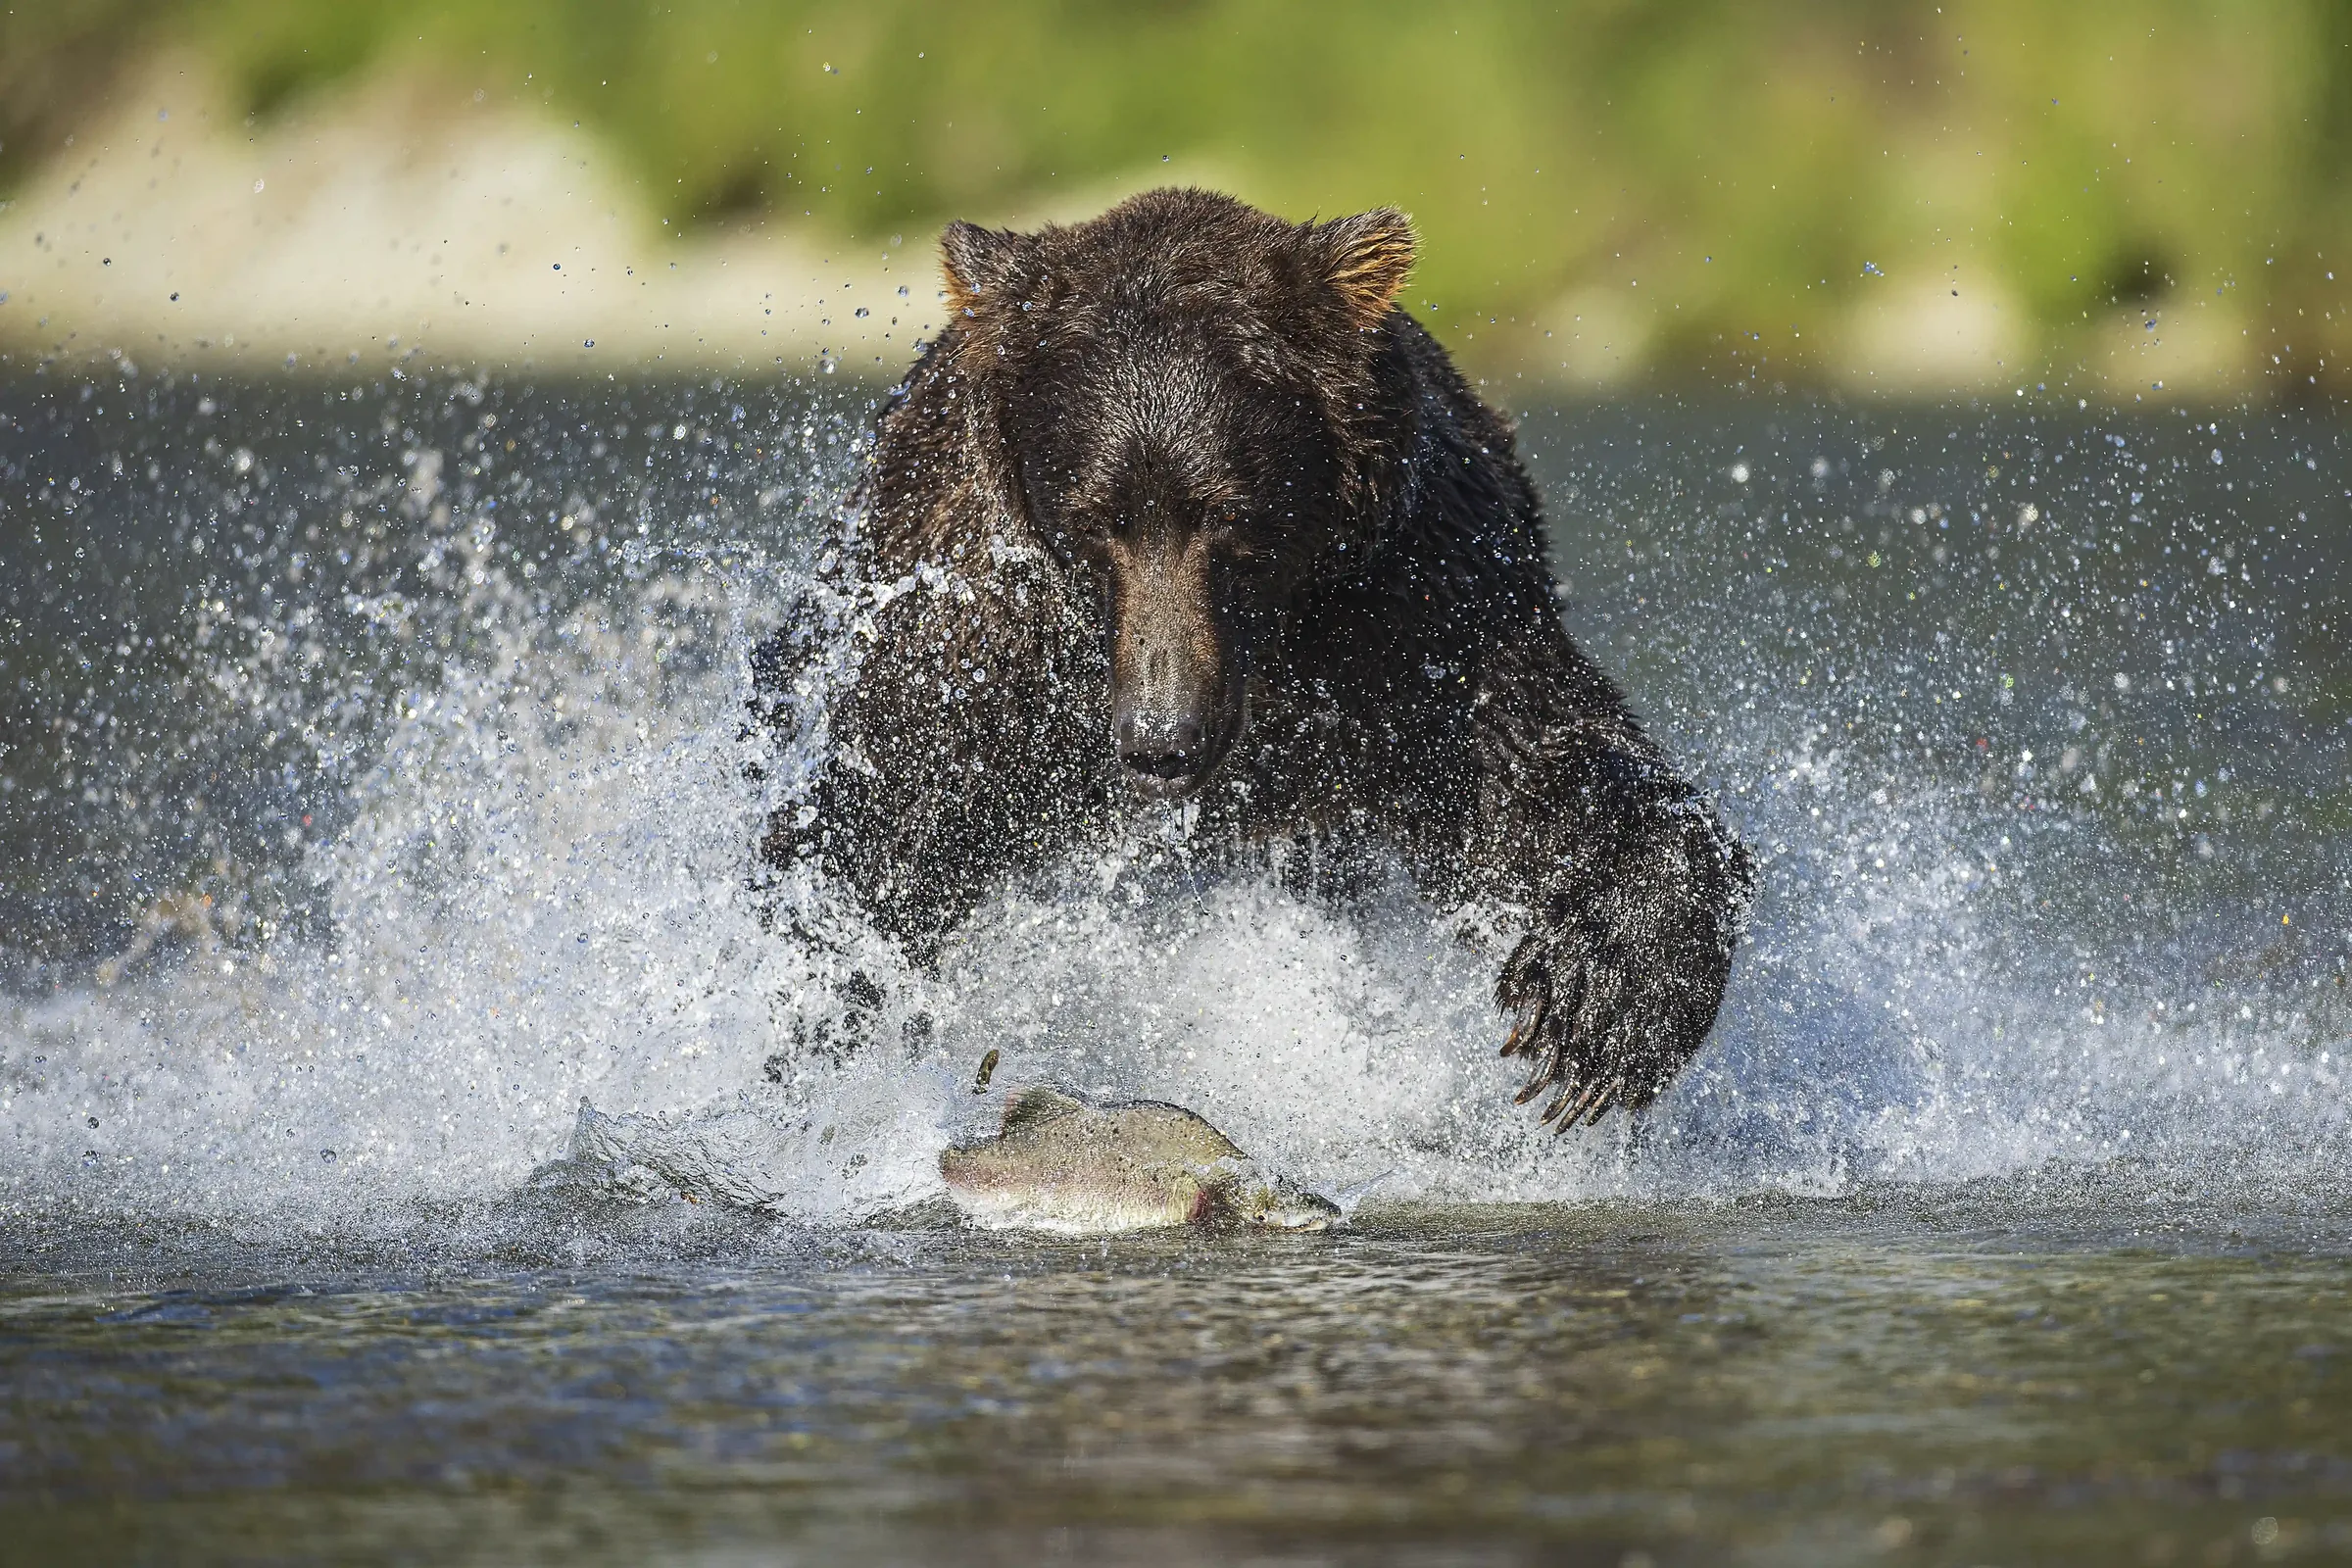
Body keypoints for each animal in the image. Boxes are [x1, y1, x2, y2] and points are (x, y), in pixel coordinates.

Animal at [754, 188, 1752, 1127]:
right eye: (1094, 518)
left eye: (1229, 513)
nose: (1163, 740)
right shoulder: (974, 627)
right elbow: (879, 829)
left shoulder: (1422, 615)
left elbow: (1544, 771)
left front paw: (1597, 1005)